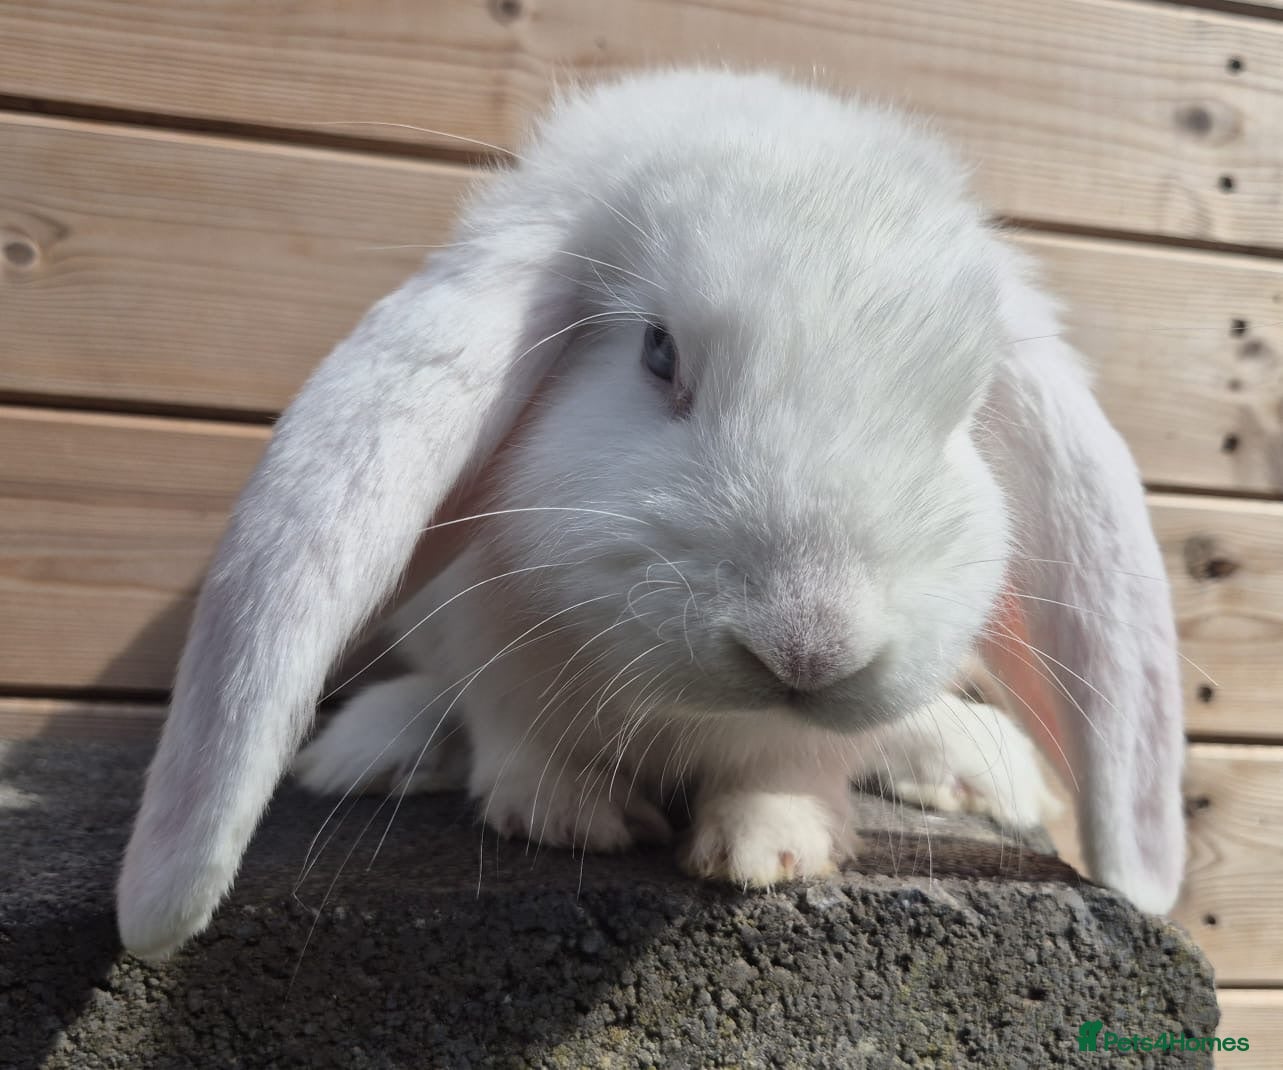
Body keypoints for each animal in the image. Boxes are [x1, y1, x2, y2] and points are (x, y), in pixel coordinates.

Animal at [117, 68, 1185, 960]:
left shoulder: (803, 730)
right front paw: (571, 816)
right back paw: (372, 748)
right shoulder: (492, 633)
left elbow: (787, 764)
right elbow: (516, 731)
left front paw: (768, 847)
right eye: (658, 353)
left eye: (965, 411)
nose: (808, 647)